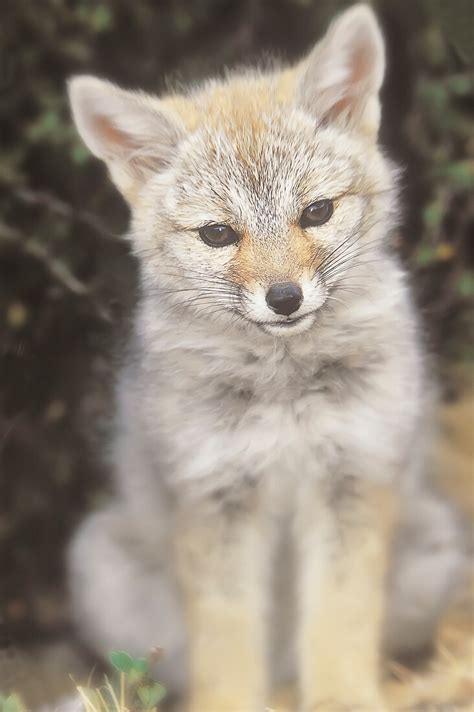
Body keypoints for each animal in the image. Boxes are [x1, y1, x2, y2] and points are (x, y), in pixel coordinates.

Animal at [66, 5, 466, 712]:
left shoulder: (352, 482)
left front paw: (342, 700)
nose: (284, 299)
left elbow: (339, 624)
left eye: (317, 212)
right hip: (99, 563)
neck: (284, 391)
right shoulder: (214, 499)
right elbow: (227, 645)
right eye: (219, 234)